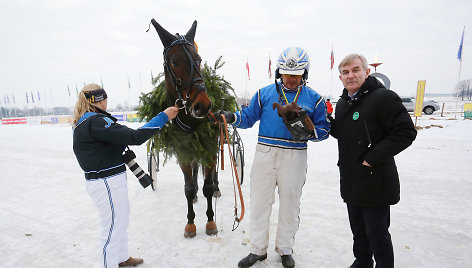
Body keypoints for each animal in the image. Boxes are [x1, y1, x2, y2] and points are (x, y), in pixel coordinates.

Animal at [148, 18, 218, 238]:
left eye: (199, 59)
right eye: (174, 62)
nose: (202, 105)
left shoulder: (210, 147)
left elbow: (208, 186)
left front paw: (210, 222)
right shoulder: (183, 150)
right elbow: (188, 188)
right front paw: (190, 223)